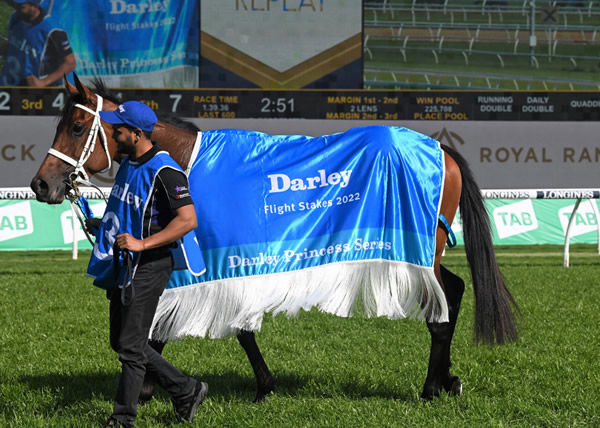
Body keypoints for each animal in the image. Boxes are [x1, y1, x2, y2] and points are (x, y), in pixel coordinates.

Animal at [29, 75, 516, 402]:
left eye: (76, 127)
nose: (40, 185)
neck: (186, 161)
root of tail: (441, 148)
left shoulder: (210, 258)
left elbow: (171, 323)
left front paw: (154, 386)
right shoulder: (227, 262)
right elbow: (234, 328)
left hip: (419, 250)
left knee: (440, 308)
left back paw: (431, 386)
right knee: (453, 292)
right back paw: (448, 379)